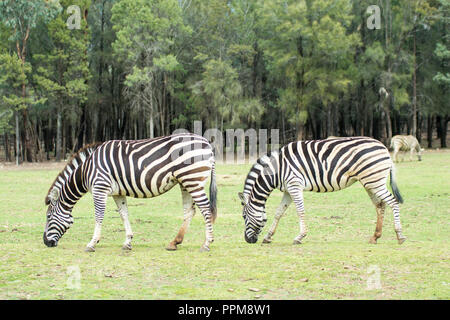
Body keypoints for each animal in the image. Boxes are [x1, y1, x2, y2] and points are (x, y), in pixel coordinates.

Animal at [44, 132, 218, 252]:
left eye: (48, 216)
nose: (46, 242)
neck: (87, 169)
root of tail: (207, 143)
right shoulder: (117, 192)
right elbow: (124, 214)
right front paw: (127, 242)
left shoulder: (100, 188)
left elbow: (99, 216)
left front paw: (92, 243)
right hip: (186, 182)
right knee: (189, 211)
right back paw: (174, 242)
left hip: (192, 180)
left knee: (206, 209)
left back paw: (206, 243)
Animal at [237, 136, 406, 245]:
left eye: (244, 216)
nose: (247, 240)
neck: (277, 170)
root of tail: (383, 147)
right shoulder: (288, 190)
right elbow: (279, 212)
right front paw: (268, 237)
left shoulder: (294, 185)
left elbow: (300, 211)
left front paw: (300, 237)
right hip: (370, 182)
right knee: (380, 205)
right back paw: (375, 237)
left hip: (375, 181)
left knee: (393, 202)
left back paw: (399, 236)